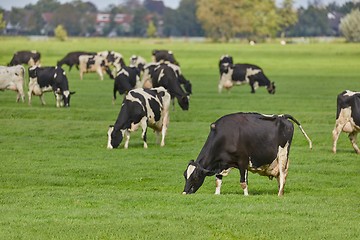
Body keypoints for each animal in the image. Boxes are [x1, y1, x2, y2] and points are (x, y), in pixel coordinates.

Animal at [183, 112, 312, 197]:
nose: (185, 192)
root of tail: (282, 116)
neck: (225, 136)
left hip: (282, 155)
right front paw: (217, 194)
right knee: (280, 176)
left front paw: (246, 196)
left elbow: (243, 182)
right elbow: (218, 181)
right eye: (185, 175)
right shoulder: (221, 164)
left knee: (283, 174)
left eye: (196, 176)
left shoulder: (242, 161)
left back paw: (280, 194)